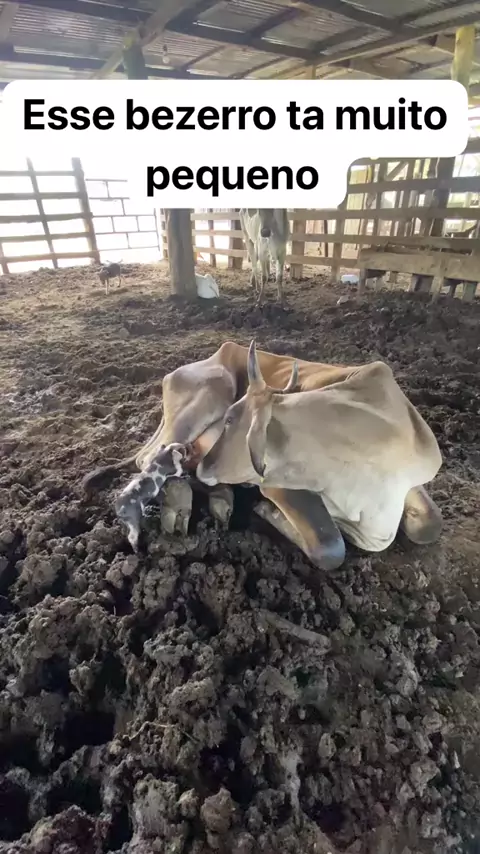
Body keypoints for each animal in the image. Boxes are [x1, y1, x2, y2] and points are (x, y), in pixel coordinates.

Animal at [82, 340, 443, 571]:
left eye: (232, 420)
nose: (208, 468)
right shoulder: (276, 484)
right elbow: (330, 545)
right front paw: (267, 512)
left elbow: (430, 525)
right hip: (212, 389)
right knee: (150, 457)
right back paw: (183, 497)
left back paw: (218, 496)